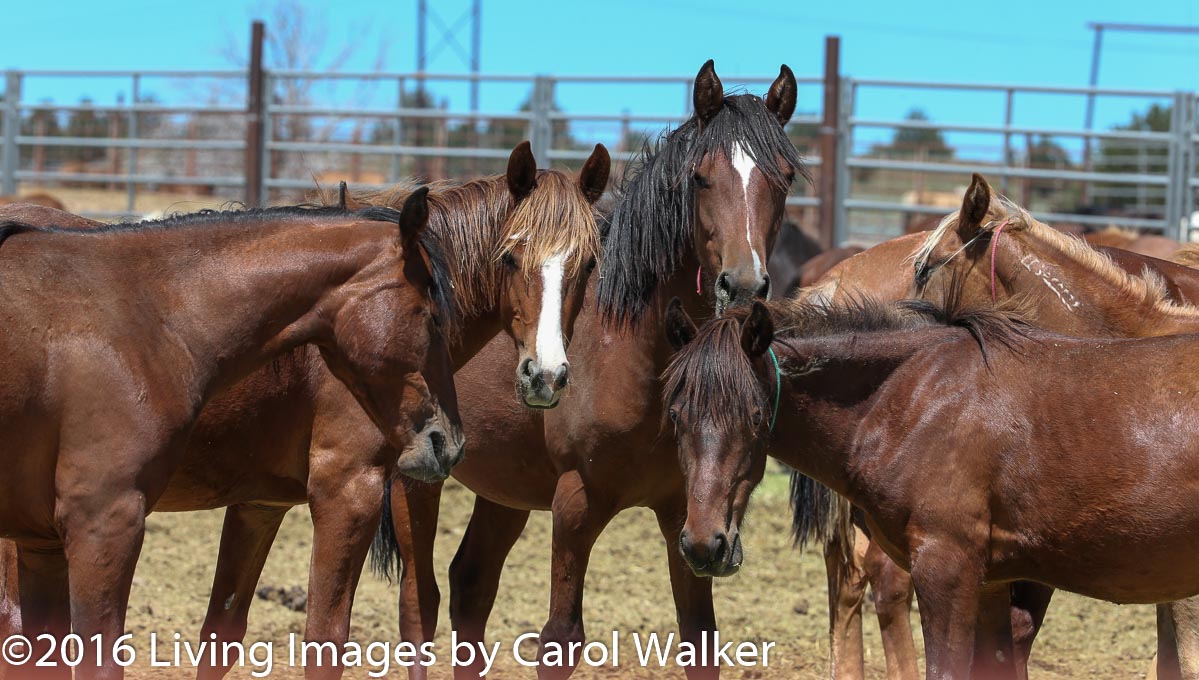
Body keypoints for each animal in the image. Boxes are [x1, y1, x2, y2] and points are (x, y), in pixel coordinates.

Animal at [369, 59, 810, 680]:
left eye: (785, 179)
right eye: (700, 178)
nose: (744, 286)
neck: (636, 352)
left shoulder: (690, 513)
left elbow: (700, 641)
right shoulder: (575, 506)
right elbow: (561, 640)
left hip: (505, 487)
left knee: (470, 586)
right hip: (419, 480)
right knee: (419, 603)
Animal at [666, 295, 1199, 680]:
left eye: (755, 415)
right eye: (675, 415)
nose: (704, 545)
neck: (918, 399)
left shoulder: (947, 570)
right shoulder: (992, 584)